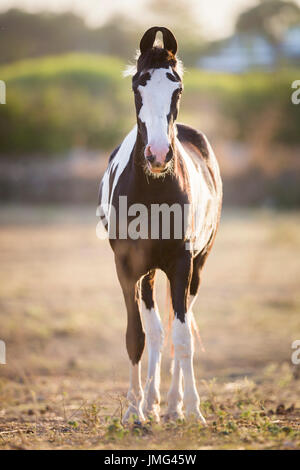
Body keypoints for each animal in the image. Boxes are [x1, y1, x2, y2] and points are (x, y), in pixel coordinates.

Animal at [97, 24, 221, 422]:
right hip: (148, 273)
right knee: (153, 332)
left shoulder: (182, 265)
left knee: (176, 326)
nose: (158, 155)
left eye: (176, 88)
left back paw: (173, 404)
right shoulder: (126, 268)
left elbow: (182, 338)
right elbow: (136, 337)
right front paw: (134, 411)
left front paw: (191, 409)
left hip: (197, 267)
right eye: (138, 86)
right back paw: (150, 402)